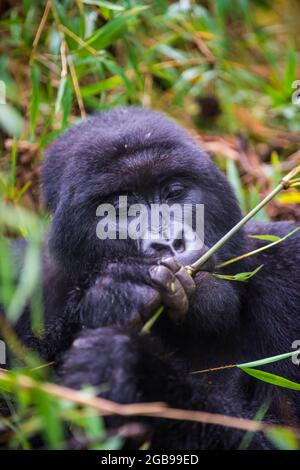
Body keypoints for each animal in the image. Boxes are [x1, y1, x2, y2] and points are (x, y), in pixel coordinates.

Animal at [12, 106, 300, 448]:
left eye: (174, 192)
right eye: (120, 208)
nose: (170, 242)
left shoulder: (288, 264)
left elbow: (280, 434)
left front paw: (138, 371)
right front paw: (114, 295)